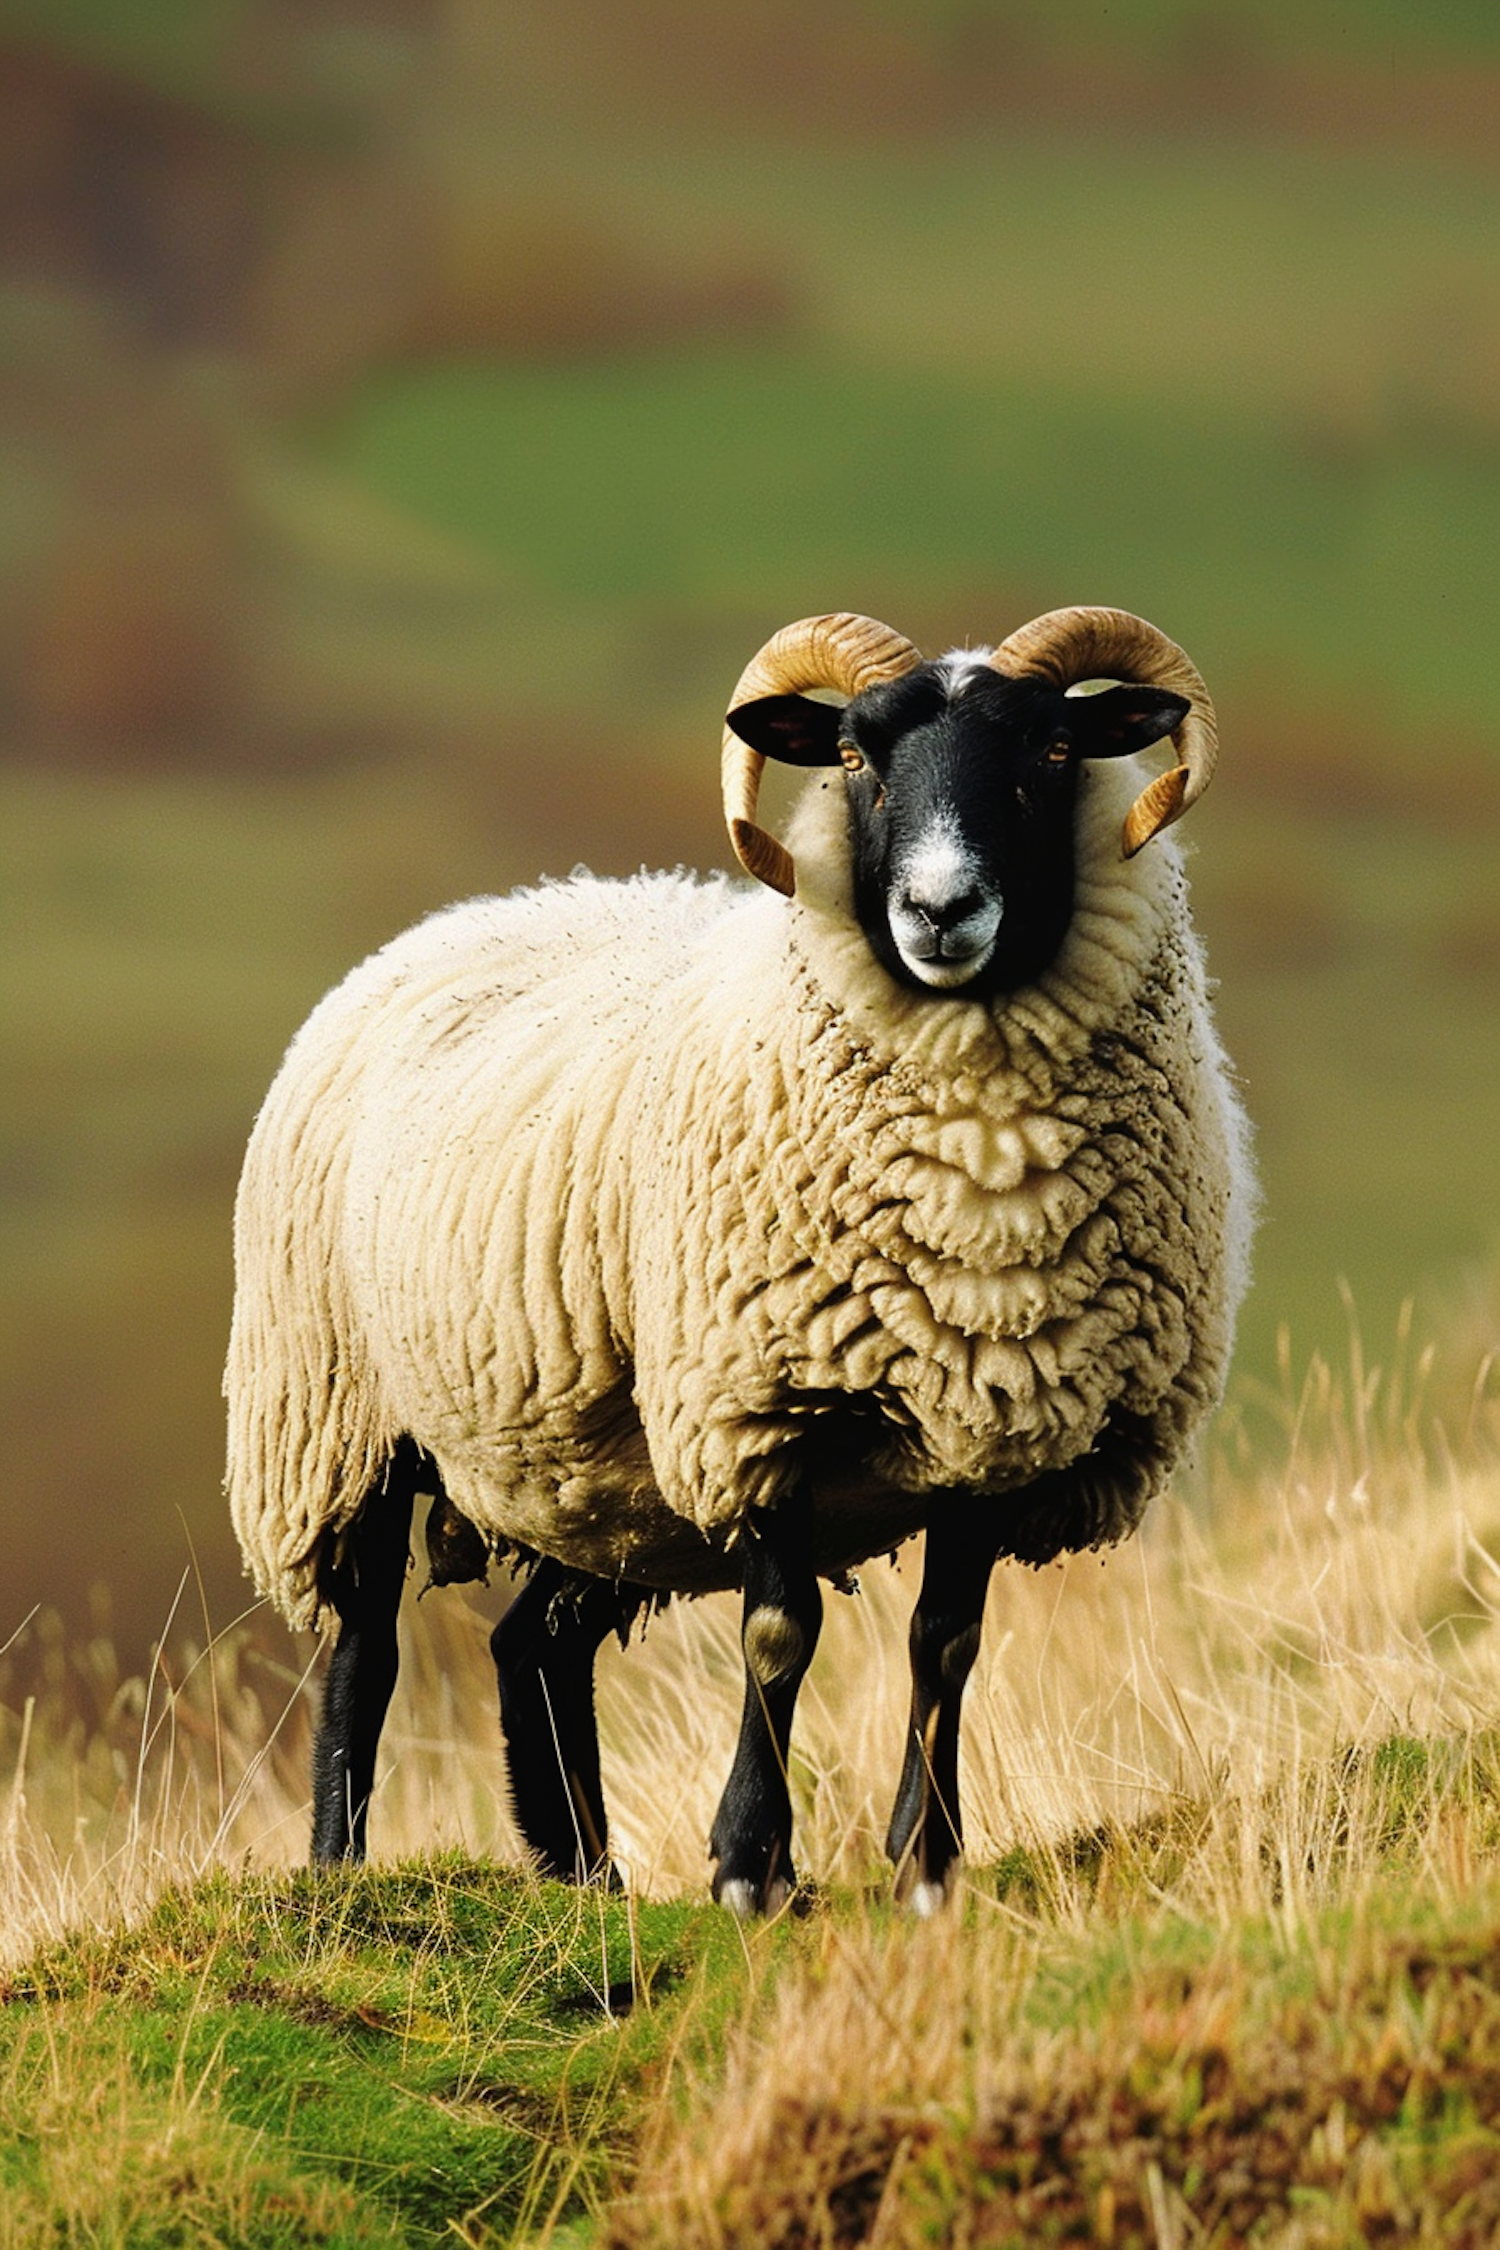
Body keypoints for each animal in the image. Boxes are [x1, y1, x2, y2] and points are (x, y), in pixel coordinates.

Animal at [226, 603, 1259, 1917]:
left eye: (1054, 750)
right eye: (857, 756)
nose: (939, 911)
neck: (981, 1180)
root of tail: (467, 915)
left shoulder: (998, 1418)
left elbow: (946, 1643)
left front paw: (925, 1864)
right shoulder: (756, 1406)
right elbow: (782, 1634)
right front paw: (747, 1866)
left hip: (598, 1474)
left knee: (534, 1645)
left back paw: (586, 1877)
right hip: (337, 1420)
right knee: (364, 1650)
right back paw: (340, 1873)